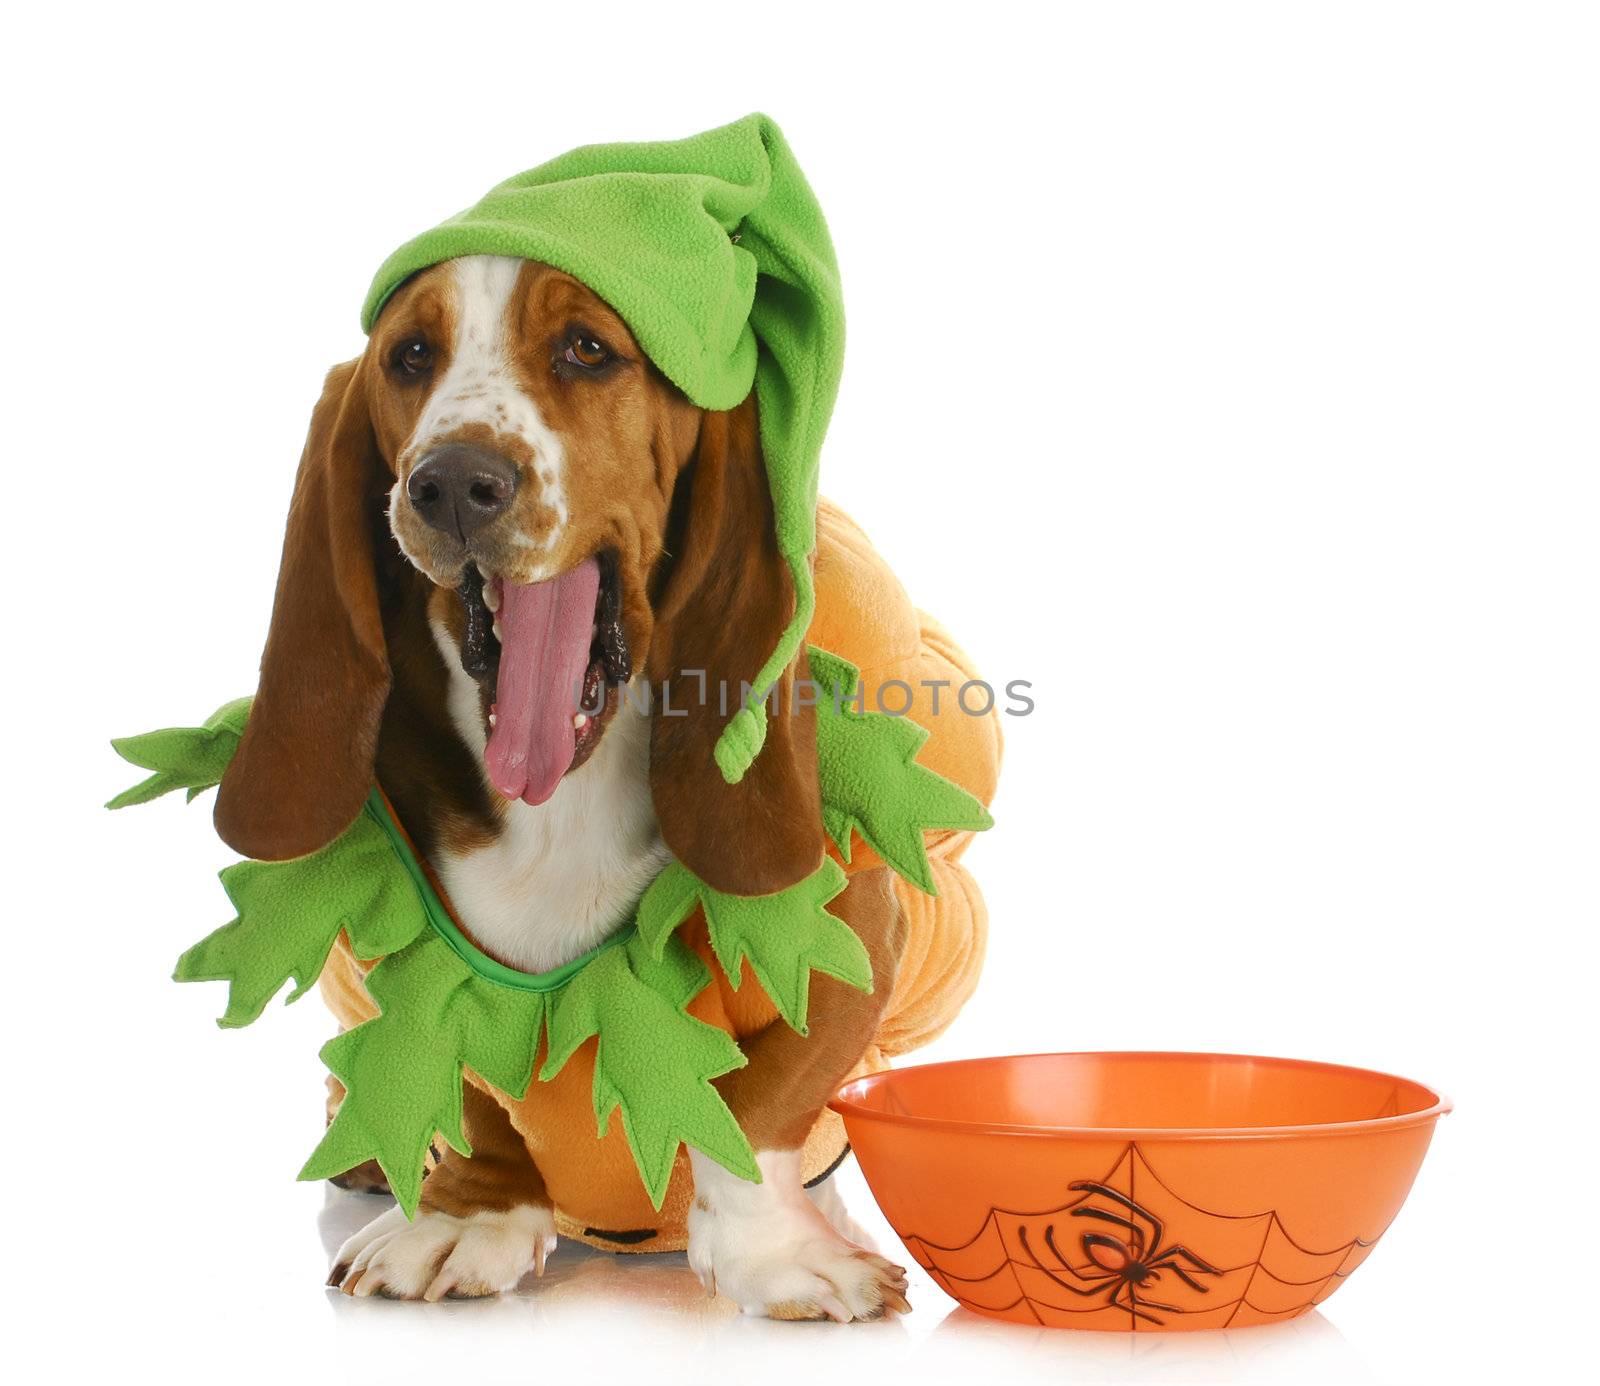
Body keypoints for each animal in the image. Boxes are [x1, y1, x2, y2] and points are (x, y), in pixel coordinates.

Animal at [217, 251, 992, 1318]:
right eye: (410, 355)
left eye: (588, 348)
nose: (451, 483)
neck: (562, 807)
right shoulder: (401, 943)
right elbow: (469, 1083)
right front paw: (466, 1219)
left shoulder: (847, 936)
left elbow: (765, 1104)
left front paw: (775, 1255)